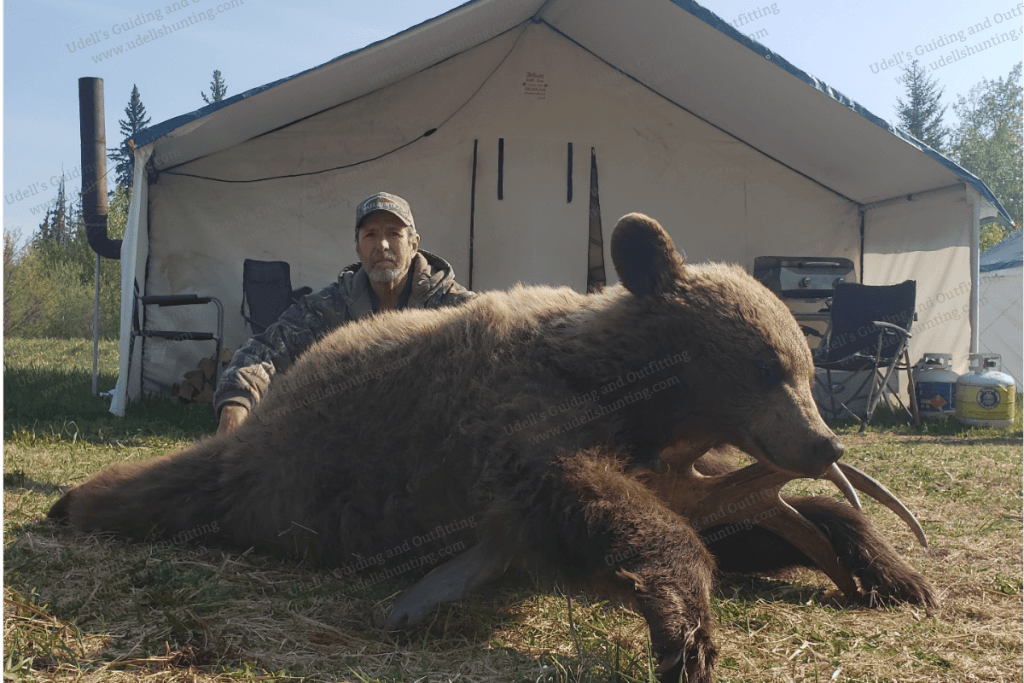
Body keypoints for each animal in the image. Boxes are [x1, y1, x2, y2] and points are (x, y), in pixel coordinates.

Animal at [50, 212, 891, 682]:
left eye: (806, 368)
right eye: (768, 365)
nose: (825, 442)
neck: (615, 382)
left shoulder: (673, 465)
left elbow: (738, 520)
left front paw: (885, 562)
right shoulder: (516, 425)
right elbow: (600, 510)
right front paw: (685, 632)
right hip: (262, 471)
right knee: (178, 484)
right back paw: (73, 501)